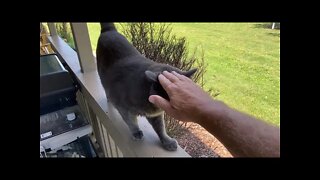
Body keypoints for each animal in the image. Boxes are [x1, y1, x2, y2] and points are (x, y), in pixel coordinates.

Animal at [95, 23, 195, 151]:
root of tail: (109, 30)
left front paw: (167, 141)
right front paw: (136, 132)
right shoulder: (123, 106)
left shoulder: (156, 115)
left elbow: (161, 128)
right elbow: (131, 121)